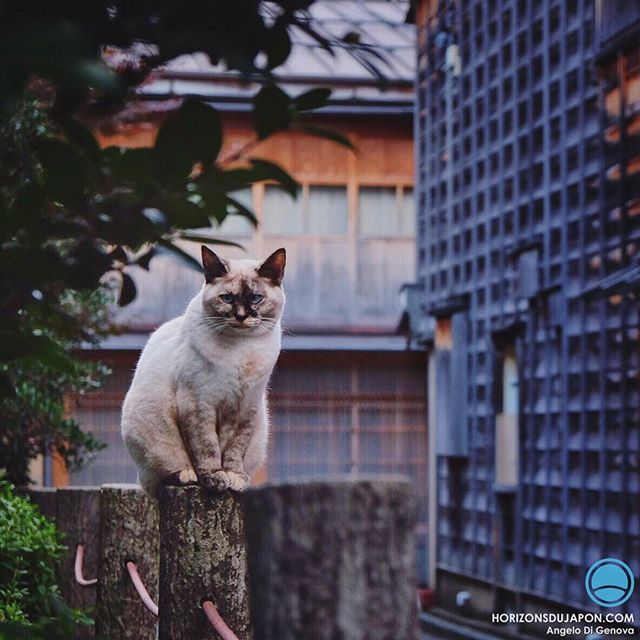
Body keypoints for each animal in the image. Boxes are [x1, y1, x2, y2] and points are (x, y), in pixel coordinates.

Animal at [121, 244, 286, 496]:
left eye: (255, 298)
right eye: (227, 298)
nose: (241, 316)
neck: (242, 350)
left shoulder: (244, 408)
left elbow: (233, 449)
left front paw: (233, 478)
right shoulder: (199, 404)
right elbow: (207, 448)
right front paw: (215, 480)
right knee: (158, 477)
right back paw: (188, 476)